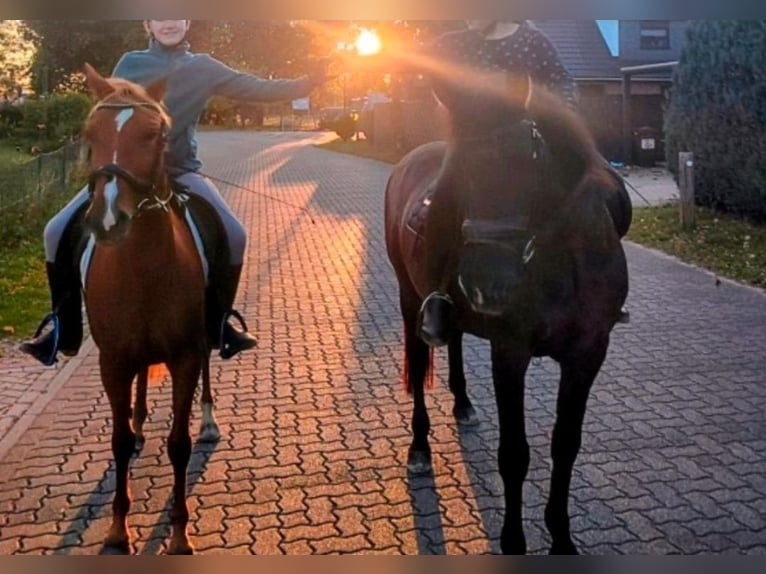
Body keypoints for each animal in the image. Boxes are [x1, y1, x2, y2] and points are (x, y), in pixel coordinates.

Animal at [79, 63, 220, 554]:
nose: (107, 220)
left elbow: (179, 443)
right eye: (89, 134)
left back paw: (209, 419)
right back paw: (140, 421)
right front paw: (118, 530)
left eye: (154, 135)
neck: (141, 268)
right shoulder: (113, 360)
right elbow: (119, 441)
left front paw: (178, 533)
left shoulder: (185, 356)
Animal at [384, 72, 632, 554]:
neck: (559, 264)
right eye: (461, 171)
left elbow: (565, 444)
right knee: (419, 367)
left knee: (455, 343)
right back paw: (419, 448)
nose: (487, 283)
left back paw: (463, 404)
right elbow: (515, 454)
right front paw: (514, 541)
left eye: (528, 157)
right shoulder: (510, 353)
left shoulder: (588, 354)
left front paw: (561, 538)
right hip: (409, 301)